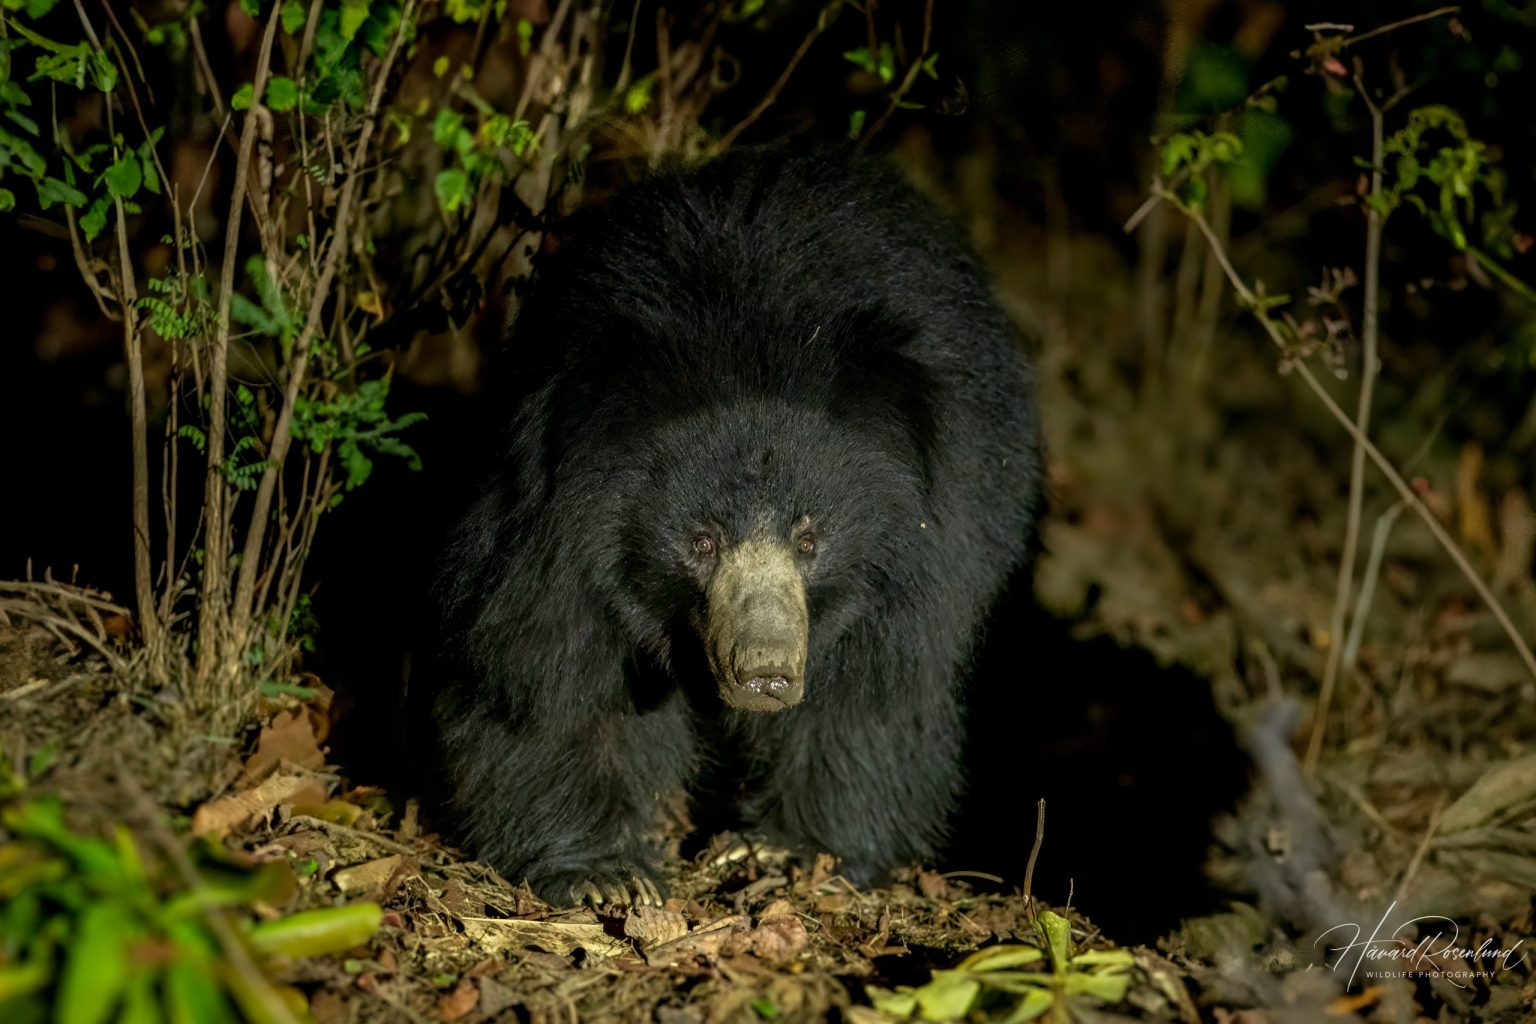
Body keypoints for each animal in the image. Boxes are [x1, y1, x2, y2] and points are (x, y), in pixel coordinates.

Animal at [427, 147, 1043, 907]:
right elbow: (550, 679)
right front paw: (605, 875)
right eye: (701, 541)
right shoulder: (552, 527)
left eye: (809, 541)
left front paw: (788, 851)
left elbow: (871, 697)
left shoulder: (927, 544)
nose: (766, 673)